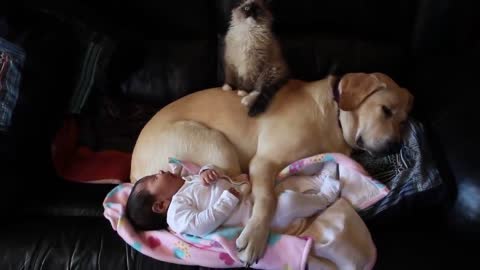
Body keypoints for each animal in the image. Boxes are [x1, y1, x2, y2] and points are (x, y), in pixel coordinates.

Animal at [130, 72, 412, 266]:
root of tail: (134, 172)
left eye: (403, 121)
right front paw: (255, 237)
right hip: (217, 143)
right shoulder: (264, 161)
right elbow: (267, 200)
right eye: (385, 110)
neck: (333, 117)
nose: (396, 145)